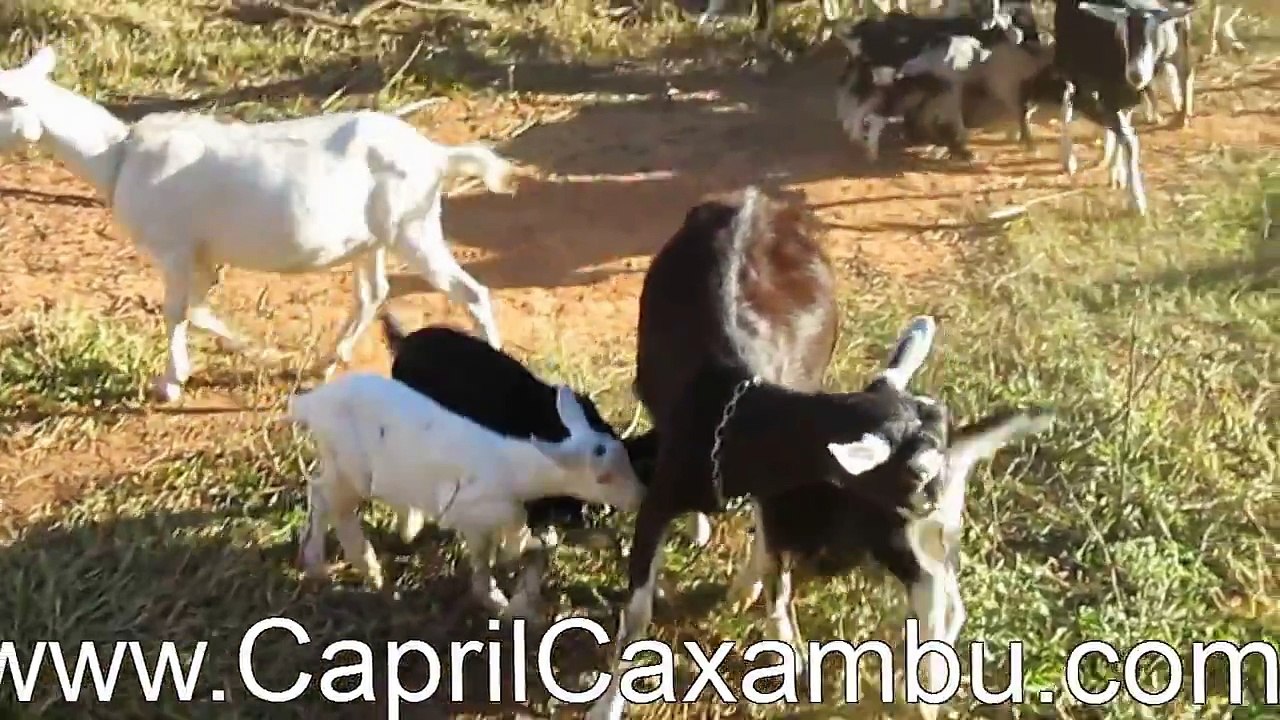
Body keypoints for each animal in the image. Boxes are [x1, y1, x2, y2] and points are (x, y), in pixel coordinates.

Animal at [0, 45, 515, 403]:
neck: (118, 156)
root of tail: (437, 156)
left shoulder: (175, 248)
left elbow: (176, 310)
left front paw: (171, 383)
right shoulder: (202, 255)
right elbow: (196, 308)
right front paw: (247, 350)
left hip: (414, 227)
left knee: (471, 292)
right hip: (372, 240)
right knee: (374, 292)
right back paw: (330, 361)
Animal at [289, 372, 646, 618]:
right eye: (603, 478)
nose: (640, 497)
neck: (514, 469)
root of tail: (308, 403)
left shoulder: (509, 521)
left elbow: (522, 550)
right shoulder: (474, 521)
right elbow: (484, 569)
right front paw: (501, 604)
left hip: (336, 463)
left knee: (320, 495)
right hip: (350, 467)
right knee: (333, 505)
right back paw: (355, 567)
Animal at [584, 187, 962, 720]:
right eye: (916, 475)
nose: (943, 525)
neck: (733, 411)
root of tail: (752, 199)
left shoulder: (778, 493)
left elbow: (777, 569)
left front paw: (788, 649)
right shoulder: (658, 502)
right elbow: (637, 614)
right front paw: (608, 703)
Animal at [1054, 0, 1195, 216]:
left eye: (1155, 33)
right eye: (1124, 34)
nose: (1136, 74)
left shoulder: (1125, 97)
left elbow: (1124, 133)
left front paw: (1117, 173)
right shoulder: (1107, 93)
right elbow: (1129, 140)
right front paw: (1138, 202)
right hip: (1069, 66)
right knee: (1067, 103)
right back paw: (1069, 159)